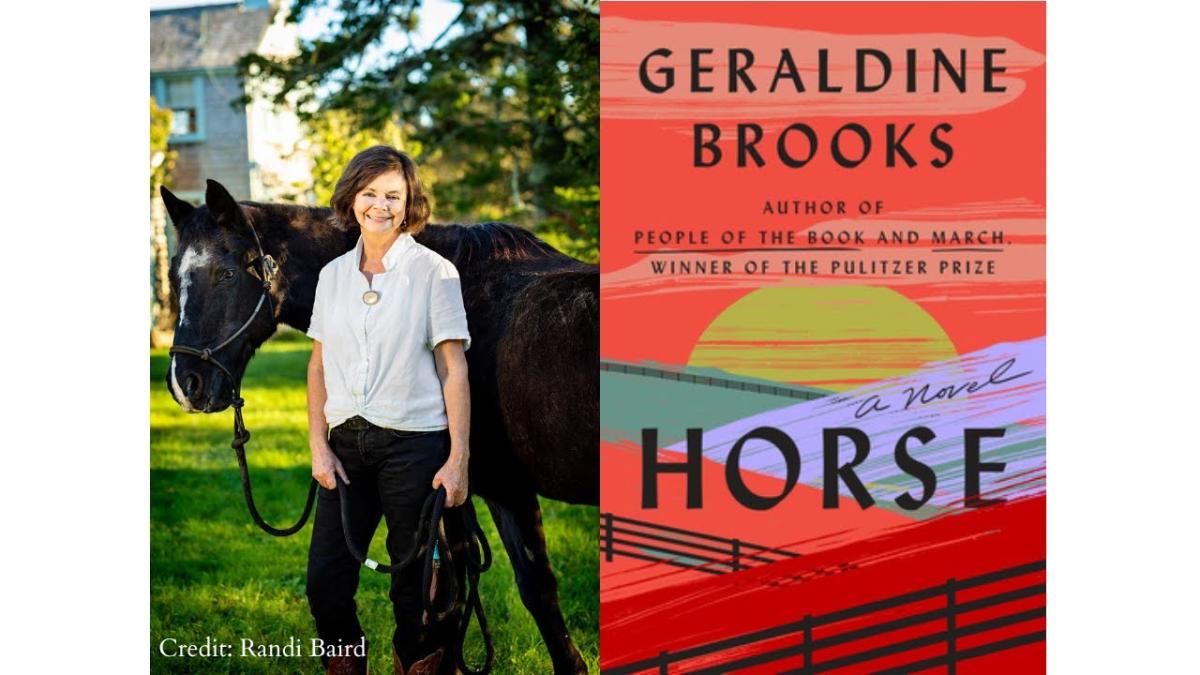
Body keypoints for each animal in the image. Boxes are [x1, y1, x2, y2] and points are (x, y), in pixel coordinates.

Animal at [163, 180, 595, 672]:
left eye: (226, 274)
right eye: (174, 276)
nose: (185, 384)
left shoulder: (498, 488)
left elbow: (517, 593)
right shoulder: (478, 494)